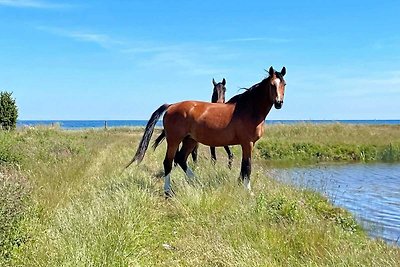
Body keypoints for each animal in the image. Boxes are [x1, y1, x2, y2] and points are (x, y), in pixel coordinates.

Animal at [126, 67, 286, 197]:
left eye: (284, 84)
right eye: (272, 85)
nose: (279, 103)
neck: (248, 109)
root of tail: (172, 106)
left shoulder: (247, 144)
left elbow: (243, 167)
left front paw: (240, 185)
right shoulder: (247, 143)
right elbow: (247, 166)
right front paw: (248, 191)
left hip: (190, 140)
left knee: (181, 159)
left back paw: (197, 182)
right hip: (174, 140)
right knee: (168, 162)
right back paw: (168, 191)